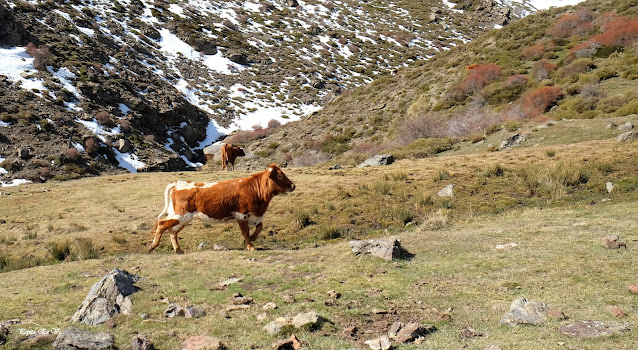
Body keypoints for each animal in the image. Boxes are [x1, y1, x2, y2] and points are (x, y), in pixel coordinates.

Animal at [149, 164, 296, 254]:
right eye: (280, 175)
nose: (293, 185)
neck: (255, 190)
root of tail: (179, 183)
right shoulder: (241, 215)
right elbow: (245, 232)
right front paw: (250, 246)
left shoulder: (254, 215)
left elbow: (260, 227)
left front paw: (253, 238)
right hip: (181, 215)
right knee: (162, 224)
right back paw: (153, 246)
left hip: (183, 218)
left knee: (172, 231)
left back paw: (178, 250)